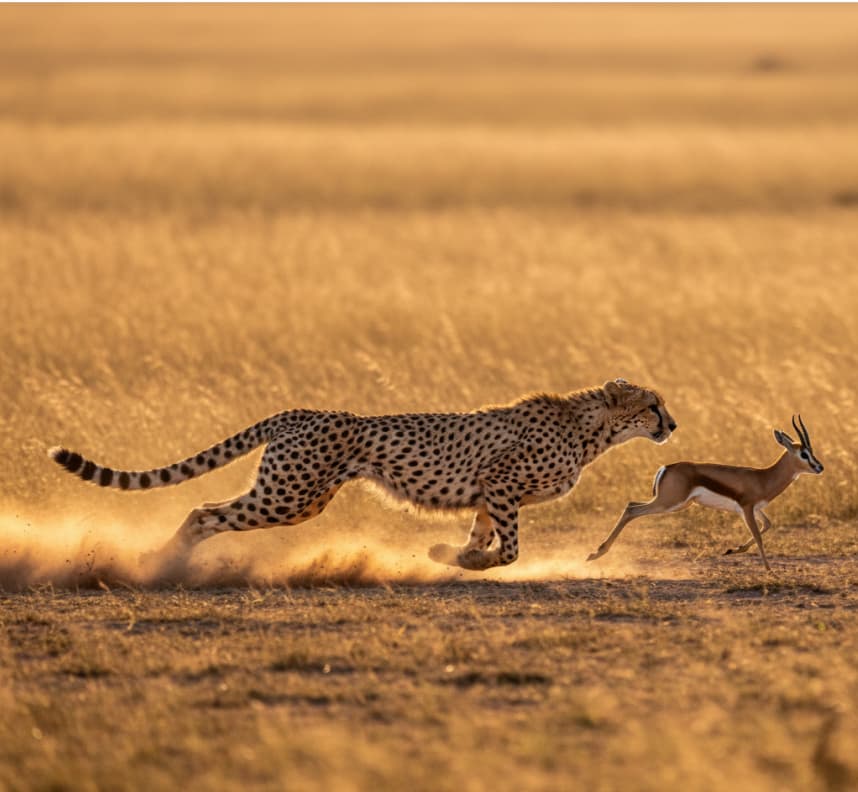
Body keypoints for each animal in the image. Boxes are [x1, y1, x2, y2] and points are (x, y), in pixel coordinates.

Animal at [48, 378, 676, 570]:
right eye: (652, 405)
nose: (672, 423)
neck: (591, 428)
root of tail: (303, 410)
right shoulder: (501, 484)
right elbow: (512, 549)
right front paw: (467, 559)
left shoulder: (487, 495)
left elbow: (484, 536)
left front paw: (452, 555)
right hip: (287, 495)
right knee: (205, 513)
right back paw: (161, 562)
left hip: (301, 498)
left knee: (207, 512)